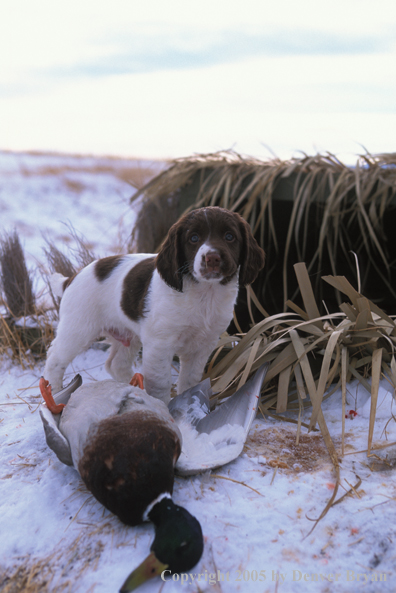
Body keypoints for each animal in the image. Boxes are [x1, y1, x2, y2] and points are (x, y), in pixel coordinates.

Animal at [44, 206, 266, 404]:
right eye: (193, 238)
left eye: (229, 236)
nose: (212, 258)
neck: (204, 294)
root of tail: (71, 278)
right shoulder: (159, 344)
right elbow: (160, 383)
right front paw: (163, 409)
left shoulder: (203, 345)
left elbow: (190, 381)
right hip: (78, 328)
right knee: (55, 359)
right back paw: (55, 392)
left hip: (128, 335)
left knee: (116, 364)